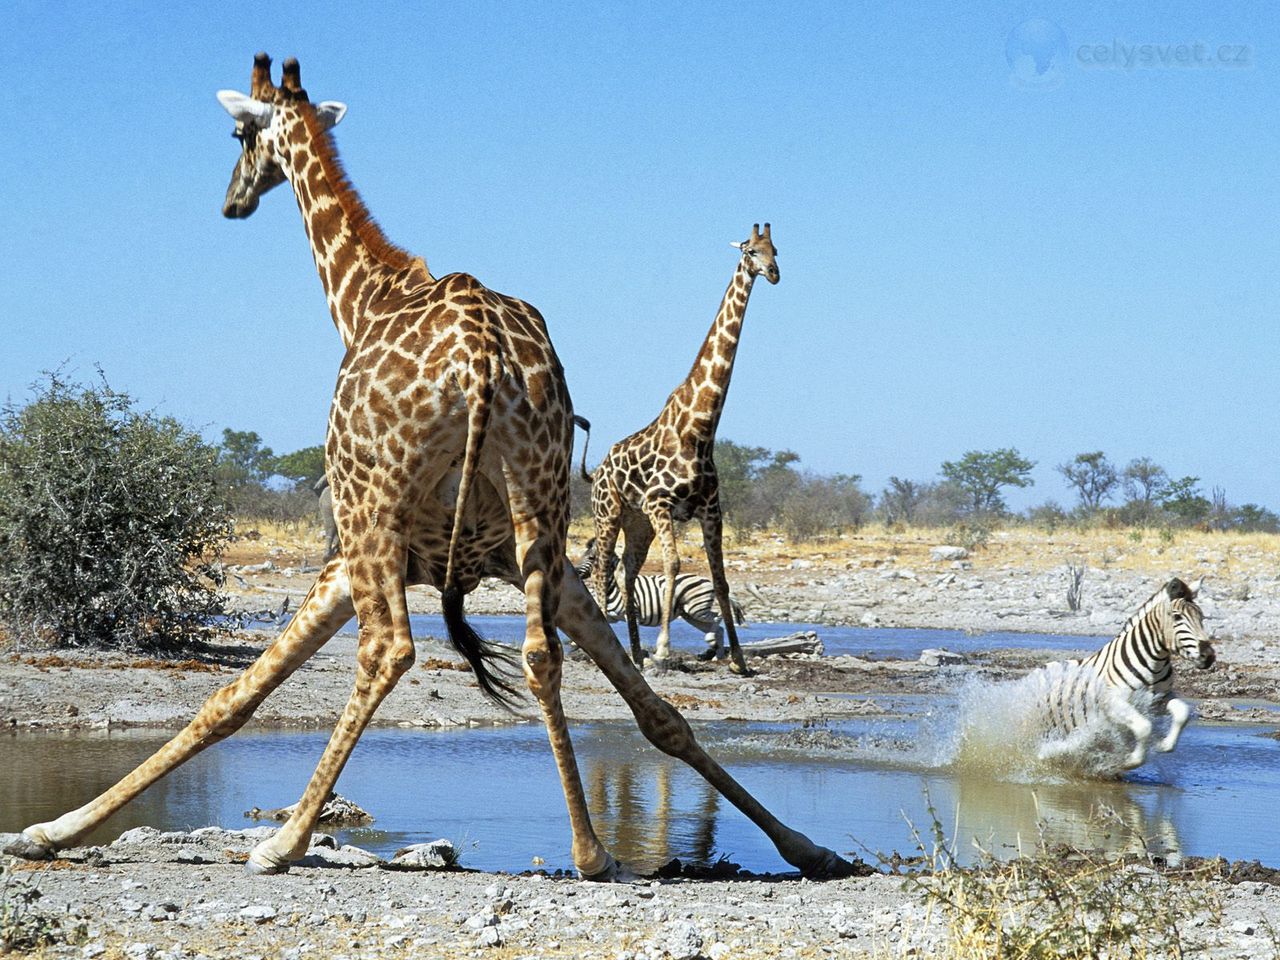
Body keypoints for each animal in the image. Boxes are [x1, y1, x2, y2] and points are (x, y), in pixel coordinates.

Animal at [576, 542, 747, 660]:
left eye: (590, 557)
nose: (576, 572)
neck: (615, 587)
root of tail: (708, 581)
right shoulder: (612, 616)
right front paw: (576, 644)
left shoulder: (633, 613)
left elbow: (634, 636)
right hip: (690, 615)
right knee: (719, 628)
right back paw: (718, 656)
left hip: (697, 609)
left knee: (718, 617)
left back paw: (712, 642)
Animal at [1034, 578, 1213, 773]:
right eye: (1177, 617)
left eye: (1201, 617)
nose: (1209, 656)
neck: (1154, 663)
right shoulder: (1112, 703)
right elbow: (1144, 727)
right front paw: (1130, 760)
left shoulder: (1158, 700)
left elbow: (1182, 713)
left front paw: (1164, 744)